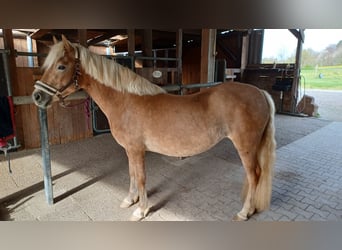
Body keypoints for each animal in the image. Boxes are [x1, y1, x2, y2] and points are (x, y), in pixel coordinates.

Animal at [32, 35, 276, 221]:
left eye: (61, 66)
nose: (37, 96)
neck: (126, 101)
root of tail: (260, 93)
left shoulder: (137, 150)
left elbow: (140, 178)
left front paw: (141, 210)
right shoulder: (130, 150)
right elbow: (131, 174)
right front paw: (130, 200)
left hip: (245, 147)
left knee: (254, 175)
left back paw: (244, 212)